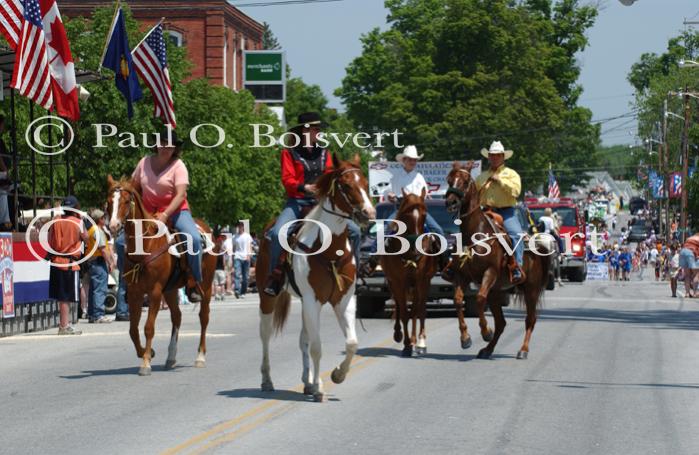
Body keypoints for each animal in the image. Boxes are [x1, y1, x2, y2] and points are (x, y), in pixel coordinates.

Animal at [104, 176, 216, 376]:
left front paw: (145, 363)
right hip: (170, 290)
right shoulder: (135, 292)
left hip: (207, 285)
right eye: (109, 202)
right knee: (177, 317)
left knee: (204, 317)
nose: (113, 226)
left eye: (126, 201)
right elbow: (133, 329)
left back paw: (200, 357)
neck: (146, 245)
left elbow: (148, 327)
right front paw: (147, 353)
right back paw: (170, 357)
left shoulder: (155, 292)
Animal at [258, 156, 378, 402]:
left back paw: (307, 382)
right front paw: (320, 387)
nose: (368, 213)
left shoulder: (343, 300)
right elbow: (316, 346)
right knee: (265, 335)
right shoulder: (313, 301)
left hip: (304, 303)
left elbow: (351, 343)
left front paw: (336, 375)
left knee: (303, 338)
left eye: (364, 182)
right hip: (267, 298)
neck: (330, 251)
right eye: (346, 185)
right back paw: (267, 380)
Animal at [380, 188, 440, 356]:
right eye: (406, 215)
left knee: (415, 309)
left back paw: (414, 340)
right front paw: (406, 344)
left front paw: (421, 342)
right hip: (394, 283)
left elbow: (419, 311)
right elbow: (404, 314)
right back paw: (399, 335)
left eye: (425, 214)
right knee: (400, 307)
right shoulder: (398, 282)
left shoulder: (423, 281)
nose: (416, 246)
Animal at [446, 163, 548, 360]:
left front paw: (485, 332)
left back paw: (523, 350)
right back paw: (487, 349)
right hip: (496, 292)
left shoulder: (490, 272)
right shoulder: (461, 275)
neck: (475, 234)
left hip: (531, 289)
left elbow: (479, 298)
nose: (451, 202)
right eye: (449, 180)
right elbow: (458, 300)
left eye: (465, 181)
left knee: (530, 319)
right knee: (501, 323)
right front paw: (465, 338)